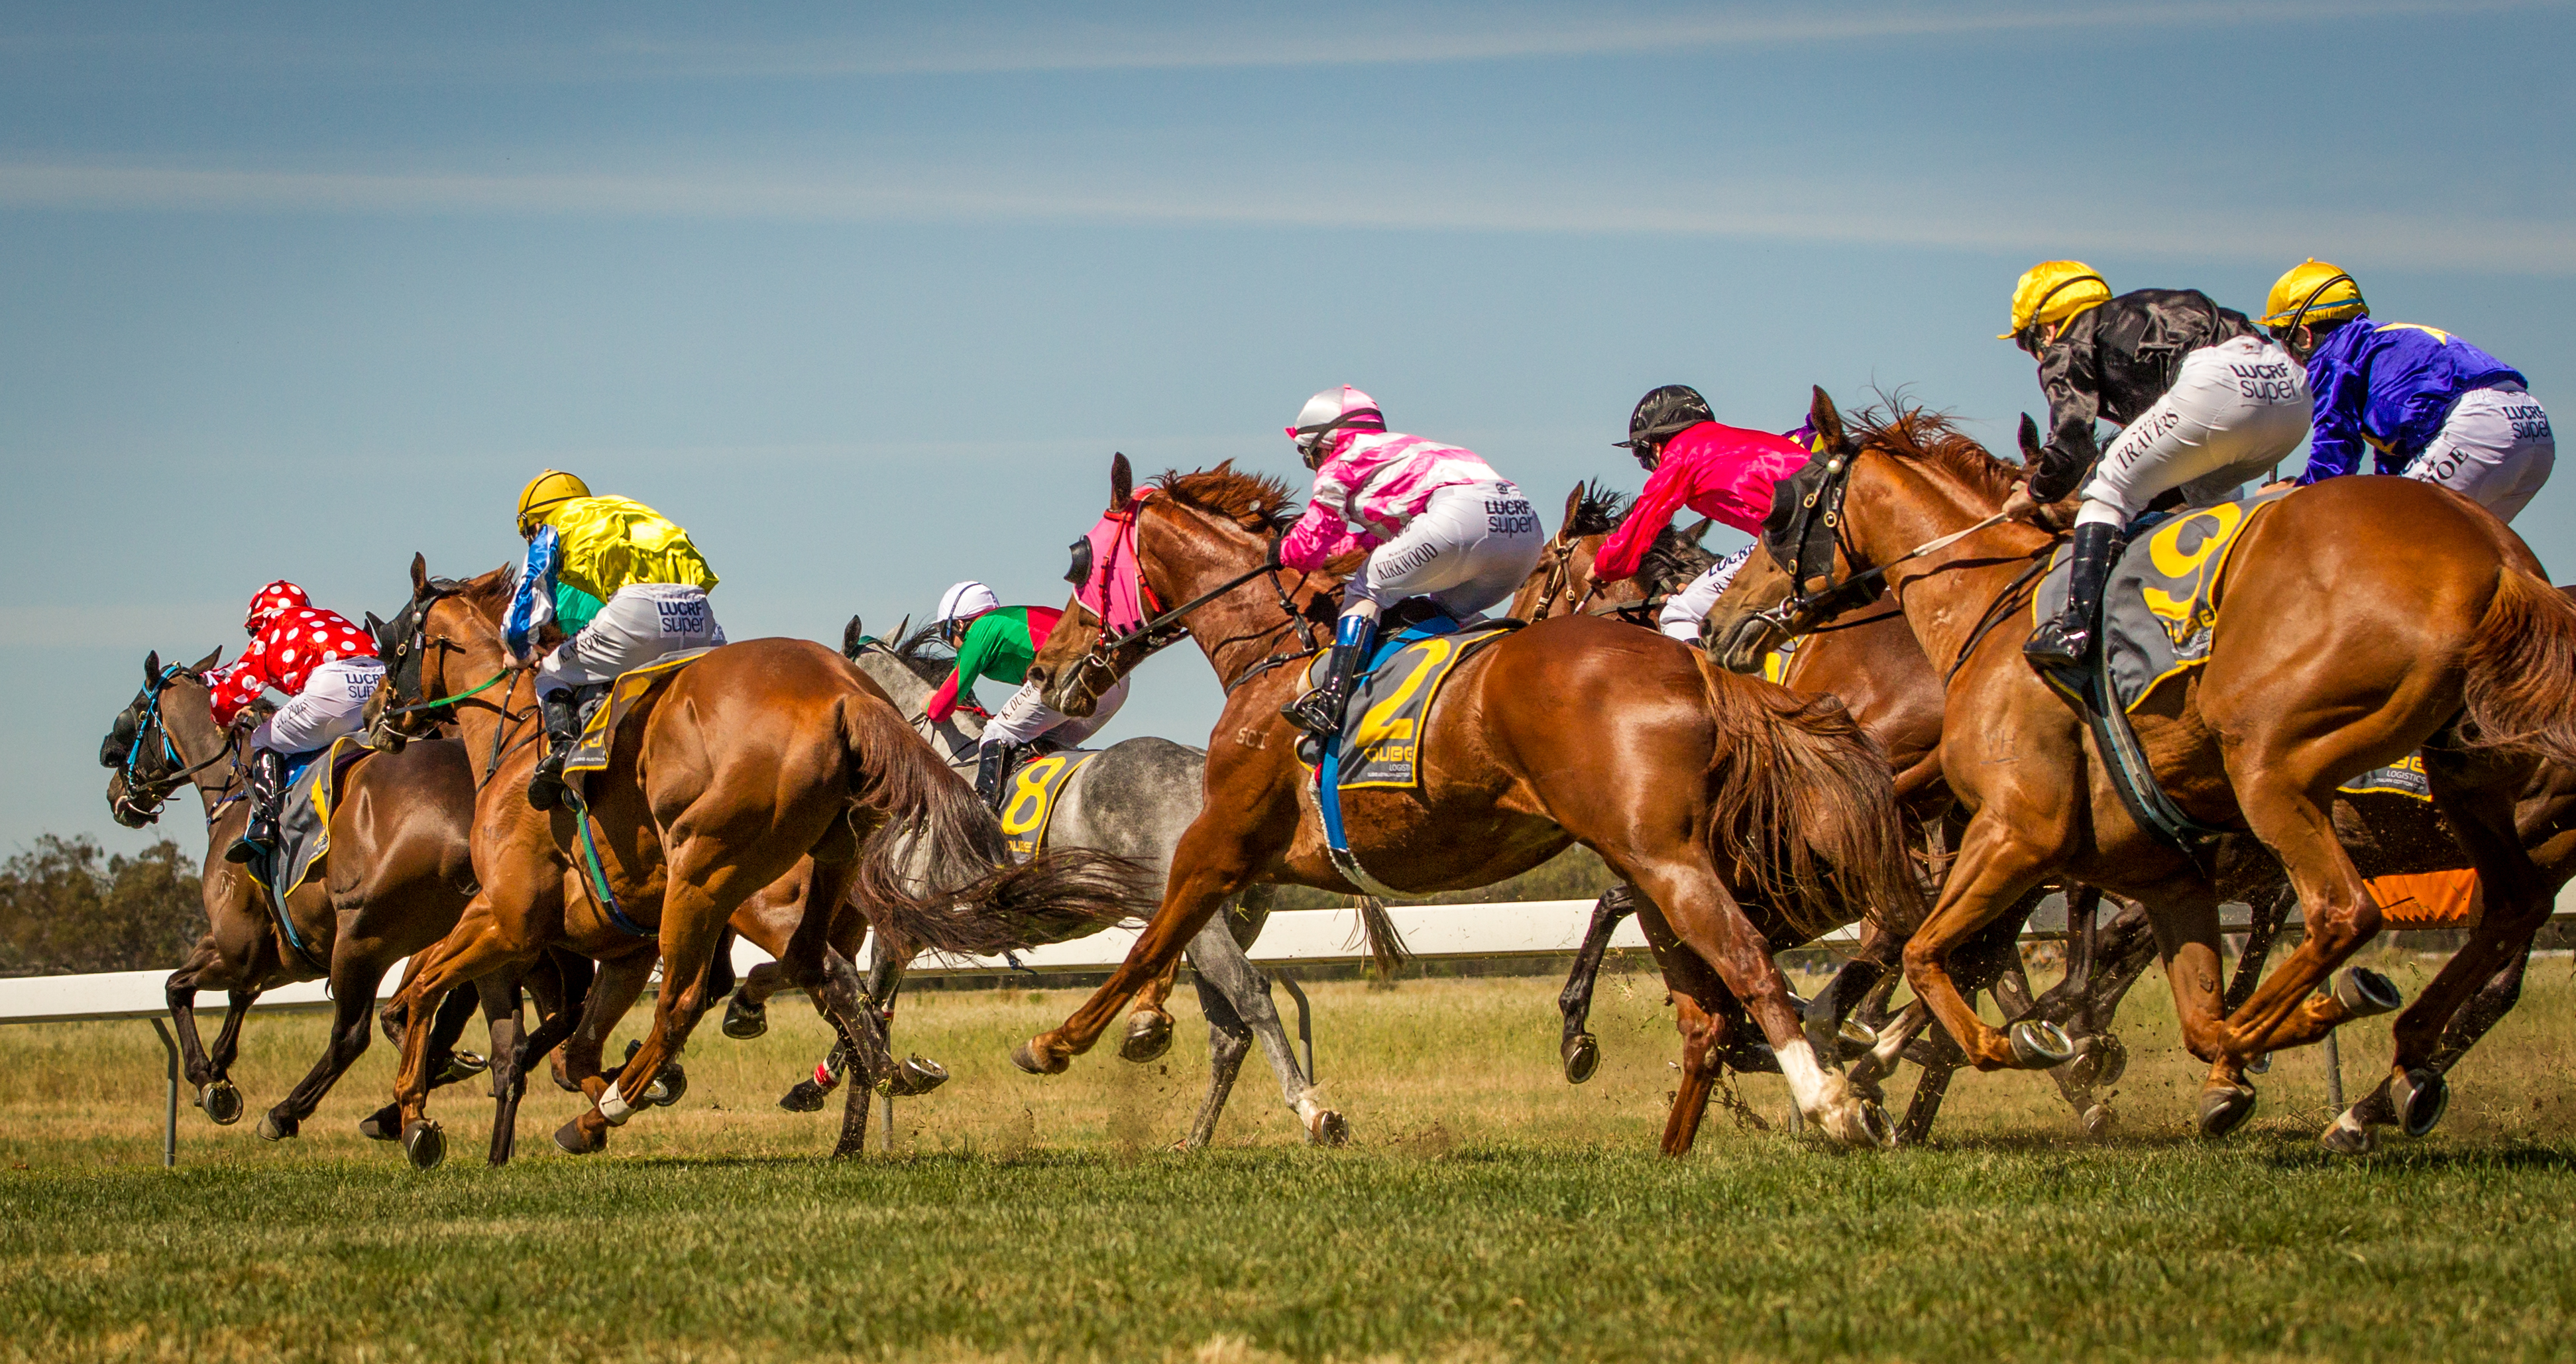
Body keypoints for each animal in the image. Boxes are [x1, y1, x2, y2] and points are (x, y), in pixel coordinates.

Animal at [368, 559, 1143, 1165]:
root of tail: (843, 695)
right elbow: (570, 1050)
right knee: (817, 973)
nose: (381, 716)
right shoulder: (618, 945)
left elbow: (424, 988)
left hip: (708, 876)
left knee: (695, 1000)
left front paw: (413, 1114)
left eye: (392, 639)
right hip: (822, 861)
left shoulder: (509, 918)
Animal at [1015, 451, 1927, 1145]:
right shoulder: (1247, 862)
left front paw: (1059, 1042)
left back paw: (1831, 1098)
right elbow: (1182, 945)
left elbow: (1153, 941)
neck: (1273, 654)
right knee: (1711, 1004)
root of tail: (1693, 662)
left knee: (1748, 960)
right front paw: (1144, 1028)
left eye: (1083, 566)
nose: (1047, 671)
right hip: (1661, 860)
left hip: (1662, 855)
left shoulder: (1221, 840)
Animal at [1710, 389, 2576, 1134]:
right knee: (2503, 919)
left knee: (2344, 911)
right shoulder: (2157, 871)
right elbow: (2152, 997)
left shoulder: (2017, 831)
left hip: (2269, 764)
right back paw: (2381, 1070)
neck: (1986, 607)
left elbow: (1933, 950)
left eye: (1781, 511)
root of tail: (2500, 561)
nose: (1723, 621)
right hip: (2471, 791)